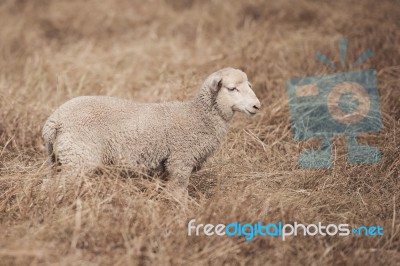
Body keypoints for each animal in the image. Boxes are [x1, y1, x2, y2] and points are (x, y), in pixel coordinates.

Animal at [43, 68, 260, 193]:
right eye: (232, 88)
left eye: (250, 85)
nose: (257, 106)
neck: (199, 116)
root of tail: (54, 121)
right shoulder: (180, 161)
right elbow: (178, 194)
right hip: (78, 157)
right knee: (53, 186)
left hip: (60, 158)